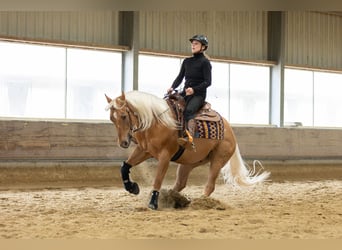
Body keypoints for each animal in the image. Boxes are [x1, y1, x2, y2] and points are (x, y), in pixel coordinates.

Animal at [105, 91, 270, 210]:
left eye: (124, 116)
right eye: (112, 119)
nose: (123, 142)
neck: (156, 121)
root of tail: (230, 130)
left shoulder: (165, 156)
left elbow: (158, 179)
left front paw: (153, 203)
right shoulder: (144, 150)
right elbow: (124, 166)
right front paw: (132, 187)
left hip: (218, 160)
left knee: (209, 185)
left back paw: (201, 202)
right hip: (188, 163)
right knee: (180, 183)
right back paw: (176, 199)